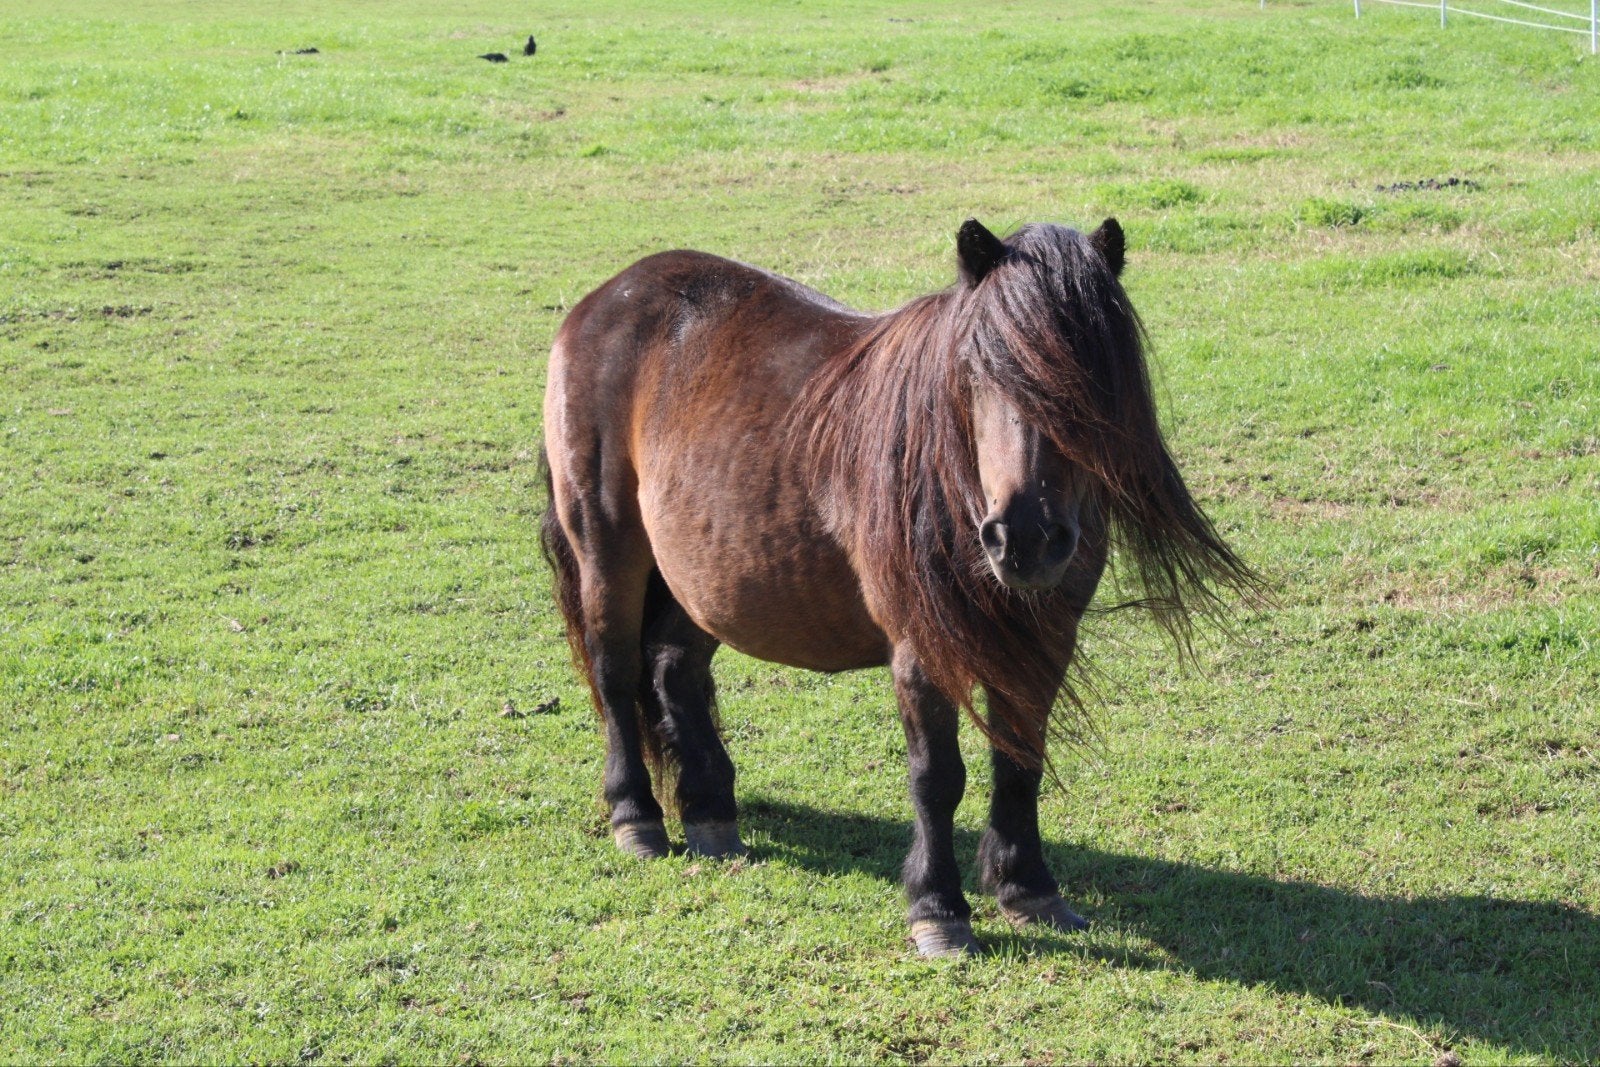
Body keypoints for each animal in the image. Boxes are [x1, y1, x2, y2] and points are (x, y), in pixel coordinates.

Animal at [540, 217, 1256, 956]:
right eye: (977, 367)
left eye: (1090, 372)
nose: (1025, 536)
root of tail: (605, 298)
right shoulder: (922, 649)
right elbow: (937, 778)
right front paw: (939, 909)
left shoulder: (1044, 641)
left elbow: (1020, 762)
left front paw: (1028, 888)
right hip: (609, 548)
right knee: (616, 670)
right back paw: (637, 817)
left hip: (708, 578)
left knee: (672, 669)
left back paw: (711, 815)